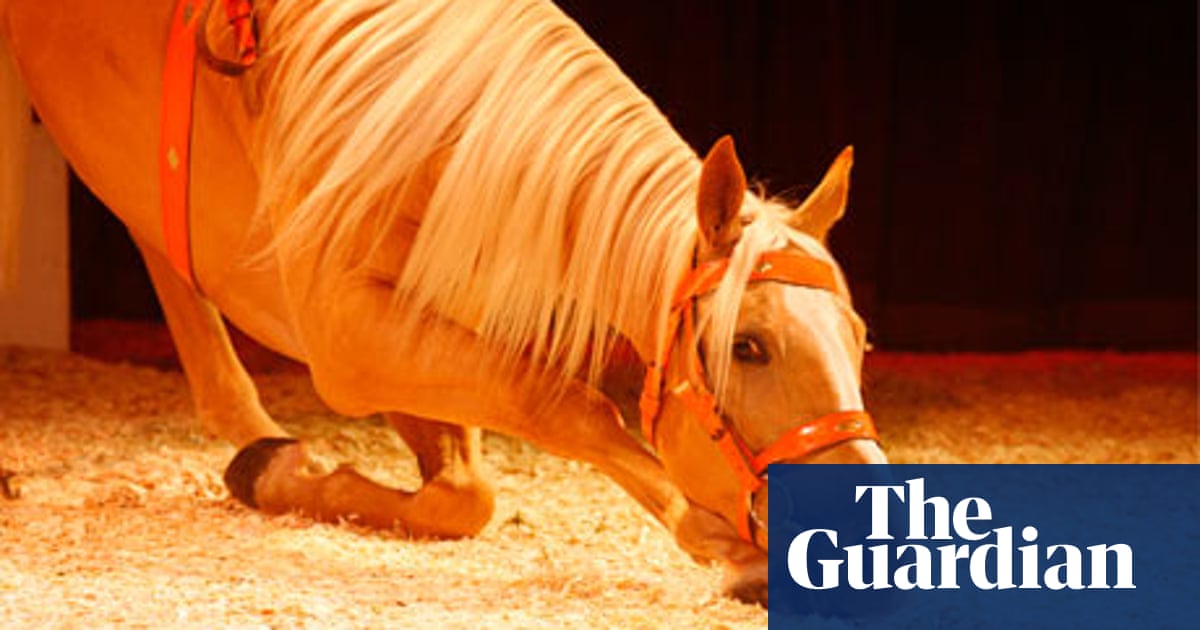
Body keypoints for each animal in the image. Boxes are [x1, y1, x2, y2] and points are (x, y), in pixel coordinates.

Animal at [0, 0, 886, 606]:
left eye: (858, 339)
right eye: (749, 346)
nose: (856, 523)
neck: (445, 133)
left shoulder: (414, 326)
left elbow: (465, 492)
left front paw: (278, 467)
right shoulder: (348, 337)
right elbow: (561, 404)